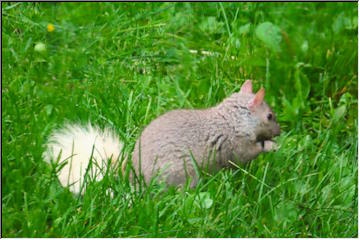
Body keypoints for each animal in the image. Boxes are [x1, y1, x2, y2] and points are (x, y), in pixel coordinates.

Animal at [43, 79, 282, 194]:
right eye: (269, 116)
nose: (280, 131)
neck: (234, 120)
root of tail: (130, 172)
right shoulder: (235, 144)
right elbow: (248, 153)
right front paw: (272, 146)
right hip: (181, 173)